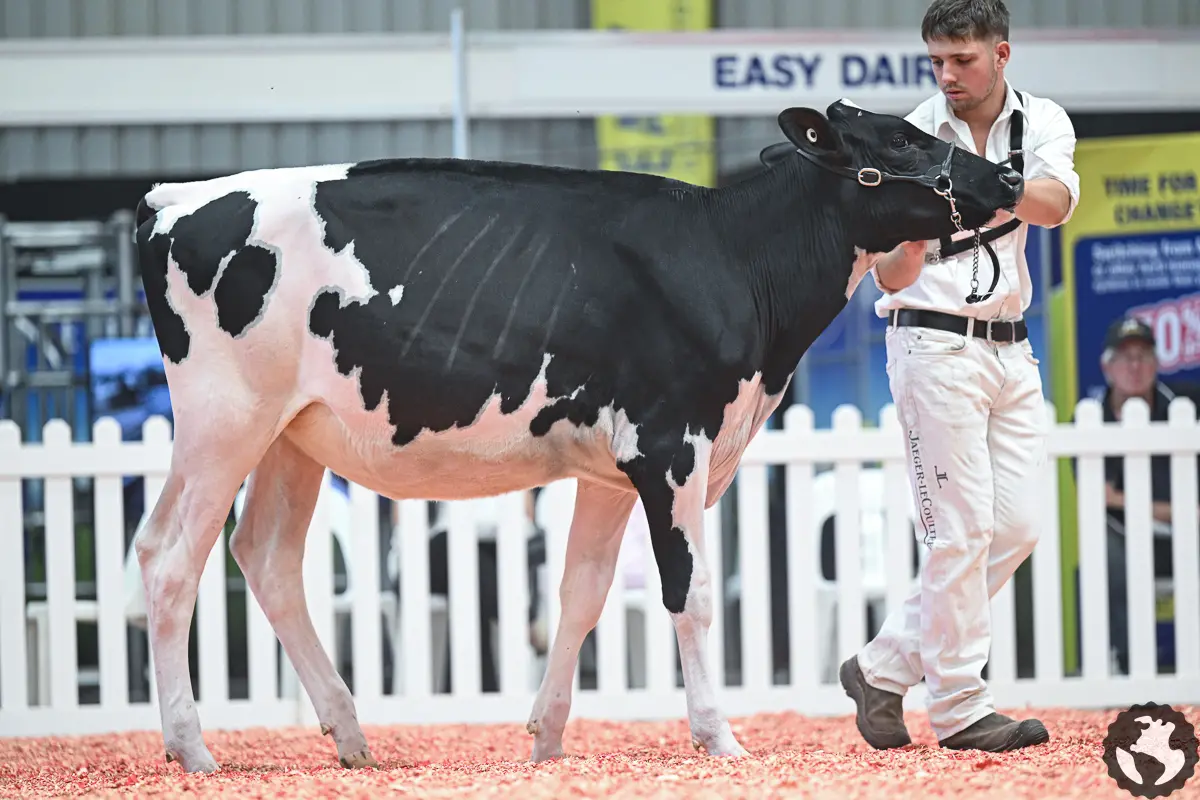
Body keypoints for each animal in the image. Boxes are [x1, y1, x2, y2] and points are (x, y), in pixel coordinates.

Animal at [130, 99, 1023, 774]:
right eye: (902, 138)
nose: (1009, 174)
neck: (736, 261)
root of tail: (173, 198)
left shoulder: (609, 469)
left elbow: (581, 594)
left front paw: (548, 738)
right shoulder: (673, 447)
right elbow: (691, 593)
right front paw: (719, 737)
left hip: (290, 435)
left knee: (264, 557)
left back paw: (349, 736)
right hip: (226, 419)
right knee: (172, 560)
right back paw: (193, 749)